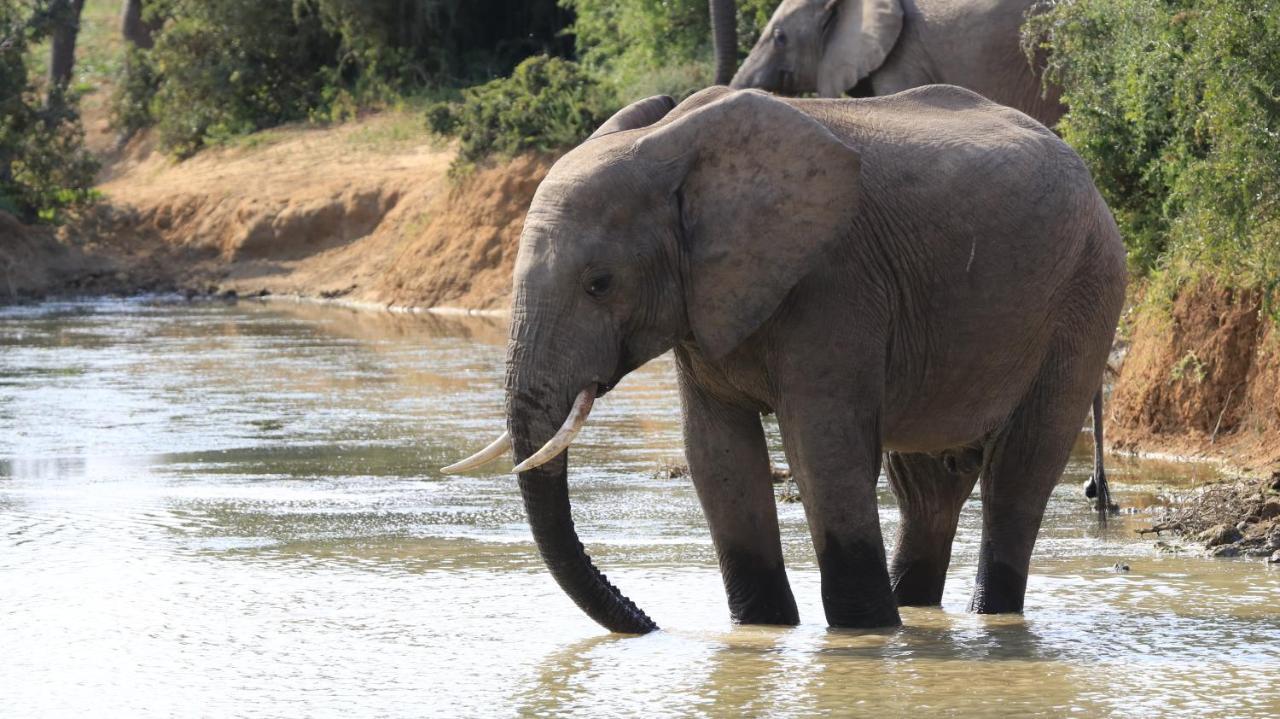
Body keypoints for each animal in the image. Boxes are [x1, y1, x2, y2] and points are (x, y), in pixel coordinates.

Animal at [445, 85, 1126, 632]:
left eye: (599, 284)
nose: (649, 623)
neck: (678, 148)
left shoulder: (834, 283)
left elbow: (822, 453)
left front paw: (863, 635)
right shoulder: (706, 306)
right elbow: (718, 456)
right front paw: (764, 631)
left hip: (1086, 292)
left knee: (1019, 468)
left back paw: (982, 615)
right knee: (930, 484)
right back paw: (915, 608)